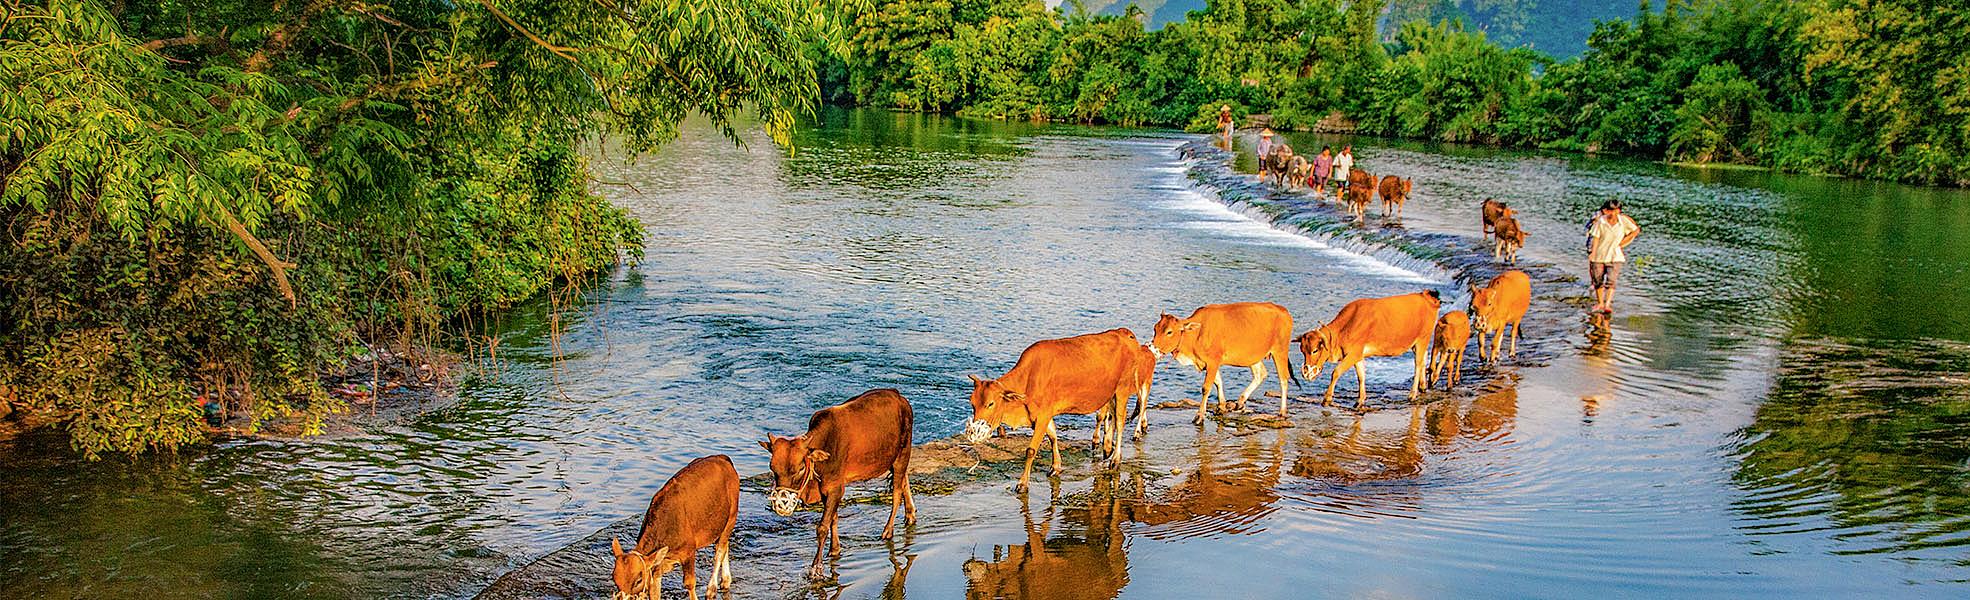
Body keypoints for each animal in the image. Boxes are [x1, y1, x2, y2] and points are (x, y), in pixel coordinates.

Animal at [606, 452, 740, 598]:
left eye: (638, 580)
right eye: (614, 578)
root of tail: (721, 457)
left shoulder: (688, 552)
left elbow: (689, 583)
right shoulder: (657, 565)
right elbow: (654, 590)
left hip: (731, 517)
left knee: (720, 550)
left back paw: (712, 589)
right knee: (724, 545)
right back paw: (725, 580)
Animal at [760, 385, 914, 578]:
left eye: (801, 468)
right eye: (772, 467)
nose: (781, 504)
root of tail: (897, 395)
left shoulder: (835, 488)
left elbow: (822, 526)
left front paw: (815, 568)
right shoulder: (827, 491)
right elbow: (833, 519)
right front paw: (835, 549)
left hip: (903, 453)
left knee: (896, 492)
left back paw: (888, 531)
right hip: (894, 458)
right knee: (904, 481)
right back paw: (910, 515)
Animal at [965, 326, 1150, 489]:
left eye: (990, 403)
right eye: (972, 403)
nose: (972, 432)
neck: (1029, 378)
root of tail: (1124, 333)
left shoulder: (1043, 415)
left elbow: (1031, 450)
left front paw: (1022, 483)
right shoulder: (1043, 414)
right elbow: (1053, 436)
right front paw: (1056, 467)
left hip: (1122, 389)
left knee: (1120, 420)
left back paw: (1115, 459)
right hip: (1110, 393)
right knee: (1111, 416)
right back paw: (1107, 447)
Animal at [1150, 299, 1300, 420]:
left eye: (1169, 332)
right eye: (1155, 328)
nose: (1152, 347)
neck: (1196, 334)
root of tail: (1283, 310)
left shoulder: (1213, 361)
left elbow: (1206, 387)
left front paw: (1199, 415)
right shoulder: (1209, 362)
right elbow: (1218, 382)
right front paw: (1221, 405)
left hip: (1280, 350)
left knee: (1283, 379)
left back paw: (1282, 411)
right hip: (1253, 355)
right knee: (1261, 374)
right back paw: (1240, 402)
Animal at [1300, 289, 1442, 407]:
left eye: (1315, 350)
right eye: (1302, 350)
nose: (1305, 373)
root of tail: (1425, 296)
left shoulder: (1354, 354)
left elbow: (1336, 372)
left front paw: (1327, 399)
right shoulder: (1357, 355)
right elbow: (1361, 376)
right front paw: (1360, 400)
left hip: (1422, 339)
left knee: (1418, 364)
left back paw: (1412, 394)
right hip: (1416, 343)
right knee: (1424, 359)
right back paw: (1423, 386)